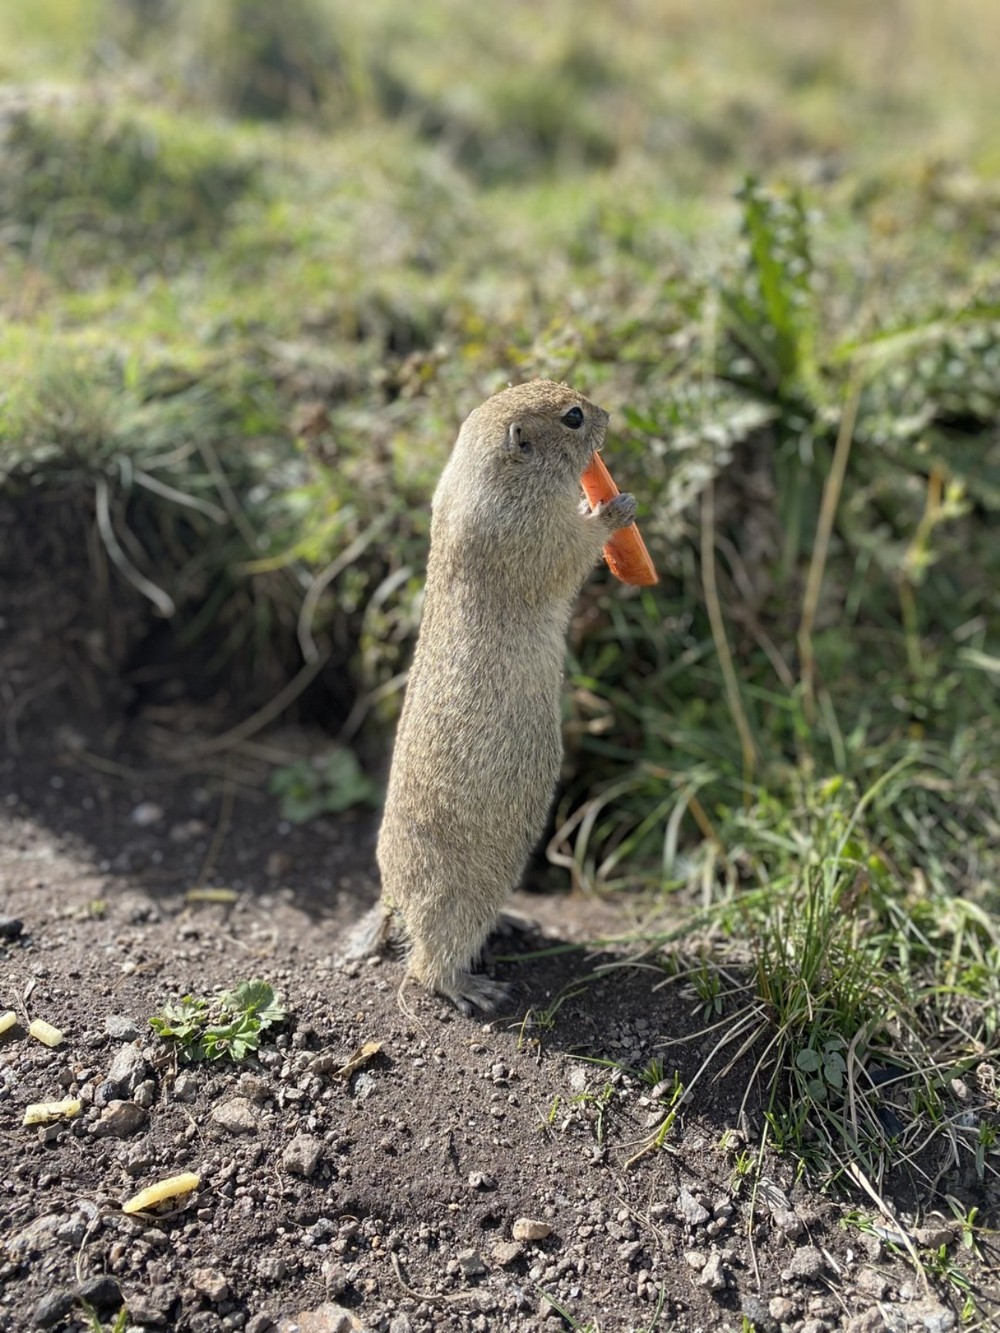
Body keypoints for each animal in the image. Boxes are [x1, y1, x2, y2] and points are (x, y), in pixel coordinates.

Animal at [365, 375, 634, 1007]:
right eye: (573, 417)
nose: (610, 415)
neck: (486, 474)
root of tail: (395, 898)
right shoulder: (529, 533)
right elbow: (571, 550)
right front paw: (614, 508)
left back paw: (510, 923)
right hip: (460, 901)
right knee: (427, 966)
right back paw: (472, 988)